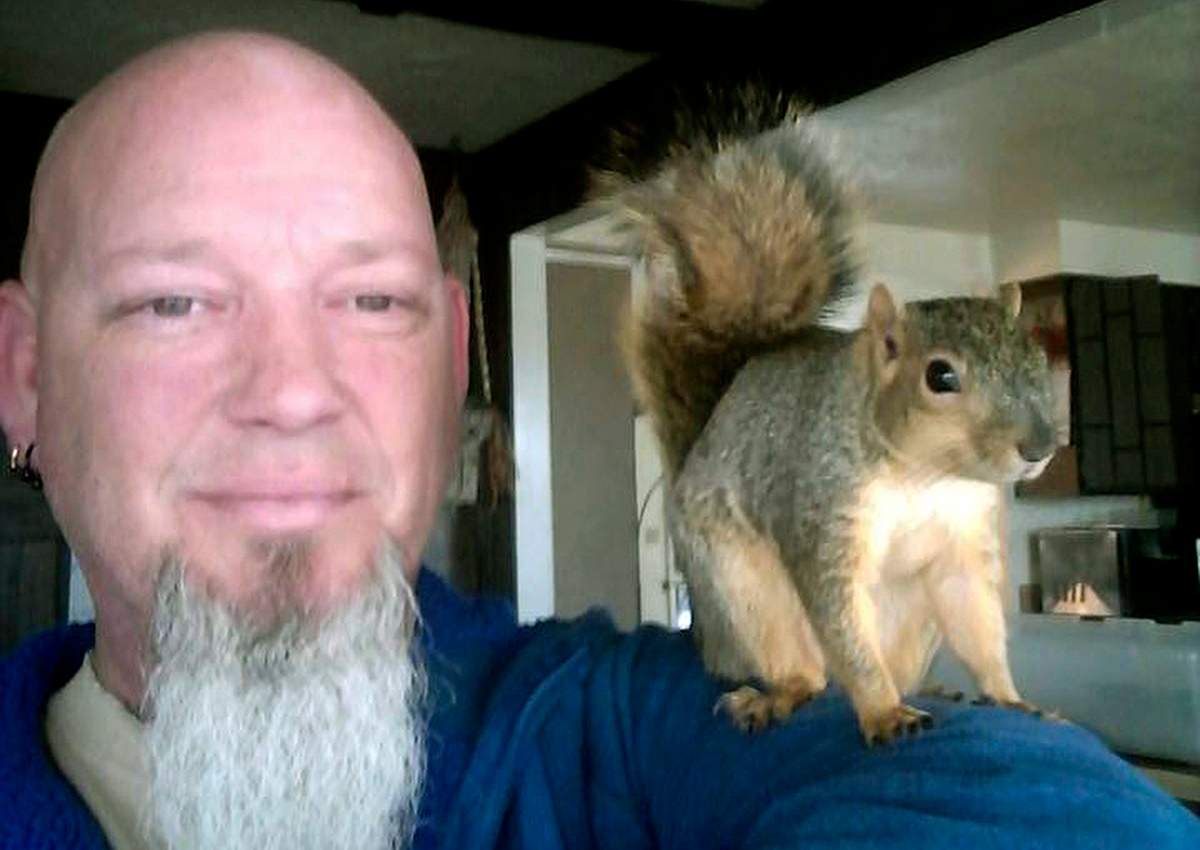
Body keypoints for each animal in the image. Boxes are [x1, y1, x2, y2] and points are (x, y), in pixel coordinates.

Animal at [601, 97, 1058, 745]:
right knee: (809, 673)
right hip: (745, 592)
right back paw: (778, 696)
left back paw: (931, 687)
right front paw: (885, 713)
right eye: (940, 376)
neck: (928, 475)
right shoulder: (822, 509)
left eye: (1039, 356)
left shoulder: (963, 543)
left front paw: (1011, 699)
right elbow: (843, 627)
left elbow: (977, 622)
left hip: (913, 620)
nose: (1040, 448)